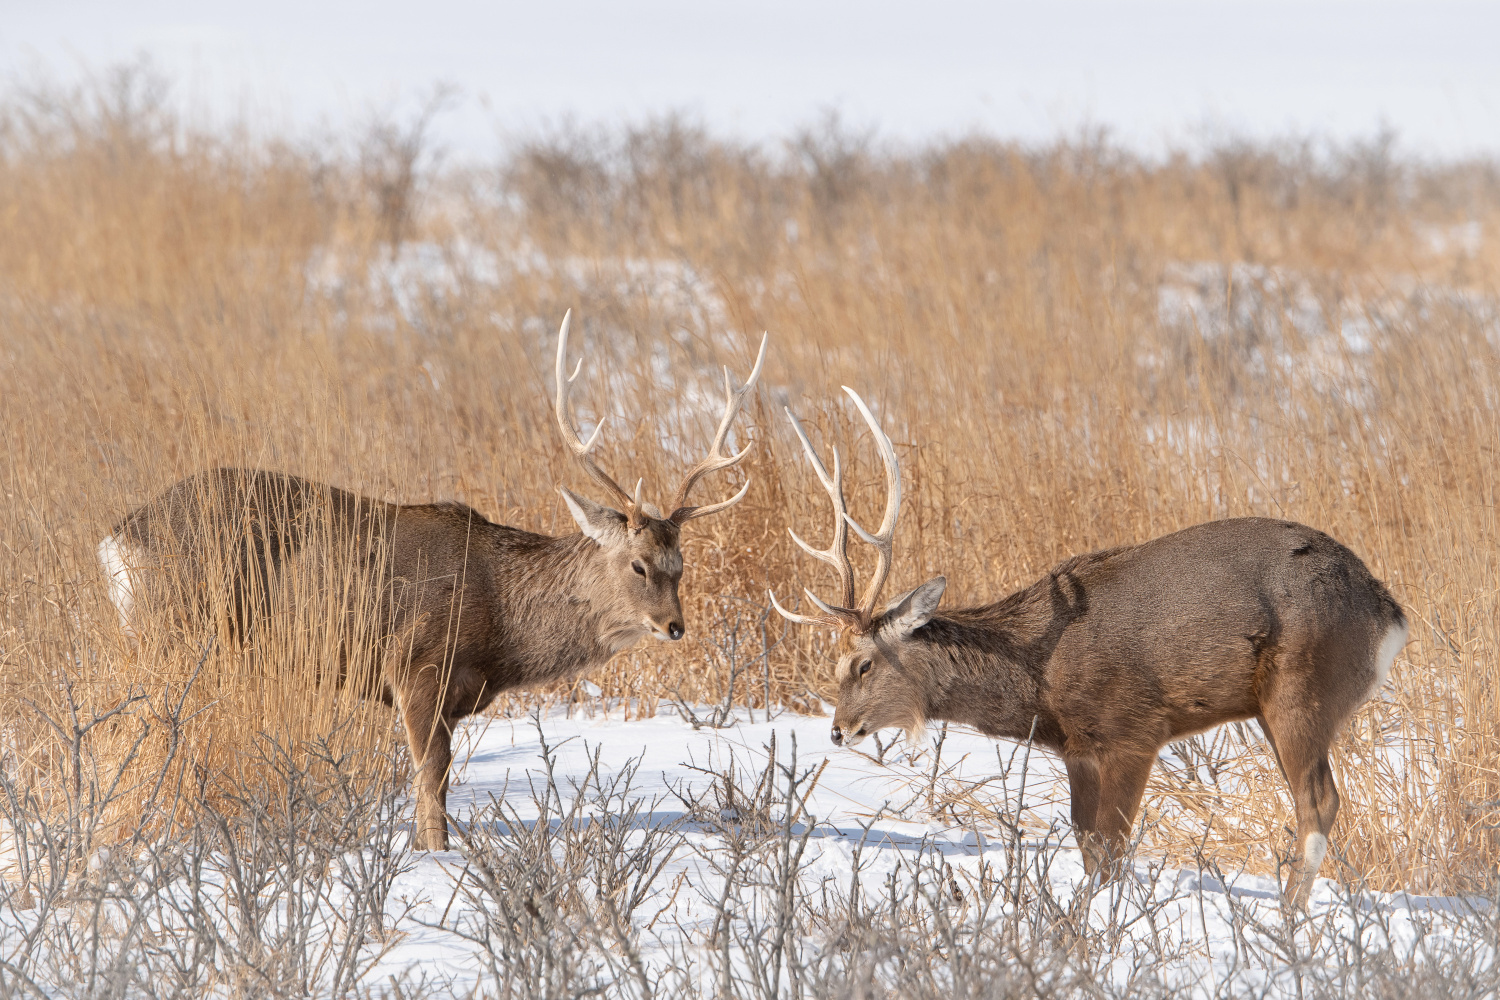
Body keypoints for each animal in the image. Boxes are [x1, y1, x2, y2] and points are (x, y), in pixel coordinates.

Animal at [99, 310, 768, 845]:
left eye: (681, 566)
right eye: (638, 563)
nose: (675, 626)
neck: (502, 626)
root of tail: (117, 536)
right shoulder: (416, 667)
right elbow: (431, 793)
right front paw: (435, 858)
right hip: (176, 628)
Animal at [774, 389, 1404, 905]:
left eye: (862, 664)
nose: (837, 729)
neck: (1040, 674)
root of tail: (1389, 613)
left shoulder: (1134, 728)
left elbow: (1113, 847)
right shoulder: (1077, 747)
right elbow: (1089, 848)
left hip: (1303, 686)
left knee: (1318, 803)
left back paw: (1291, 919)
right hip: (1272, 706)